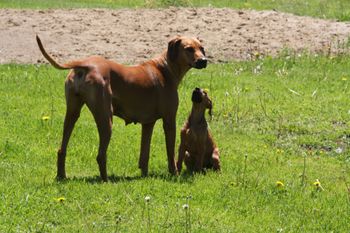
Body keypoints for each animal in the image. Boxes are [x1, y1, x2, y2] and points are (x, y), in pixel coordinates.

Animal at [36, 34, 206, 181]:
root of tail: (86, 65)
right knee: (101, 155)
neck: (164, 68)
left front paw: (144, 175)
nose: (204, 60)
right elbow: (171, 153)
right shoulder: (169, 120)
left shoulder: (148, 123)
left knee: (61, 148)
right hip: (106, 118)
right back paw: (105, 180)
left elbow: (144, 154)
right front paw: (174, 173)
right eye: (189, 49)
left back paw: (61, 176)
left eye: (201, 48)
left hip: (72, 113)